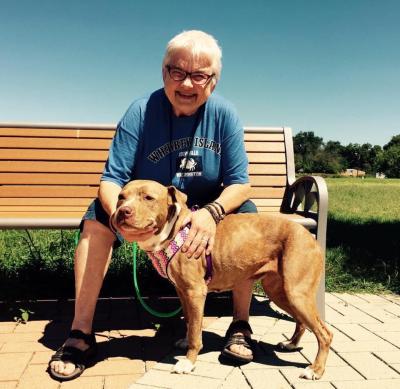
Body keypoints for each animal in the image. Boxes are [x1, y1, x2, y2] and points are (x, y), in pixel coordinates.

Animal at [111, 180, 332, 378]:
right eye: (121, 197)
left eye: (148, 198)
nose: (123, 211)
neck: (174, 231)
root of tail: (309, 236)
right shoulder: (182, 292)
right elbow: (191, 322)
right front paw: (185, 341)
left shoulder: (195, 292)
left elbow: (196, 333)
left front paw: (188, 362)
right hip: (280, 291)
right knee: (302, 322)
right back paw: (291, 344)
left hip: (297, 293)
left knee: (324, 333)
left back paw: (315, 370)